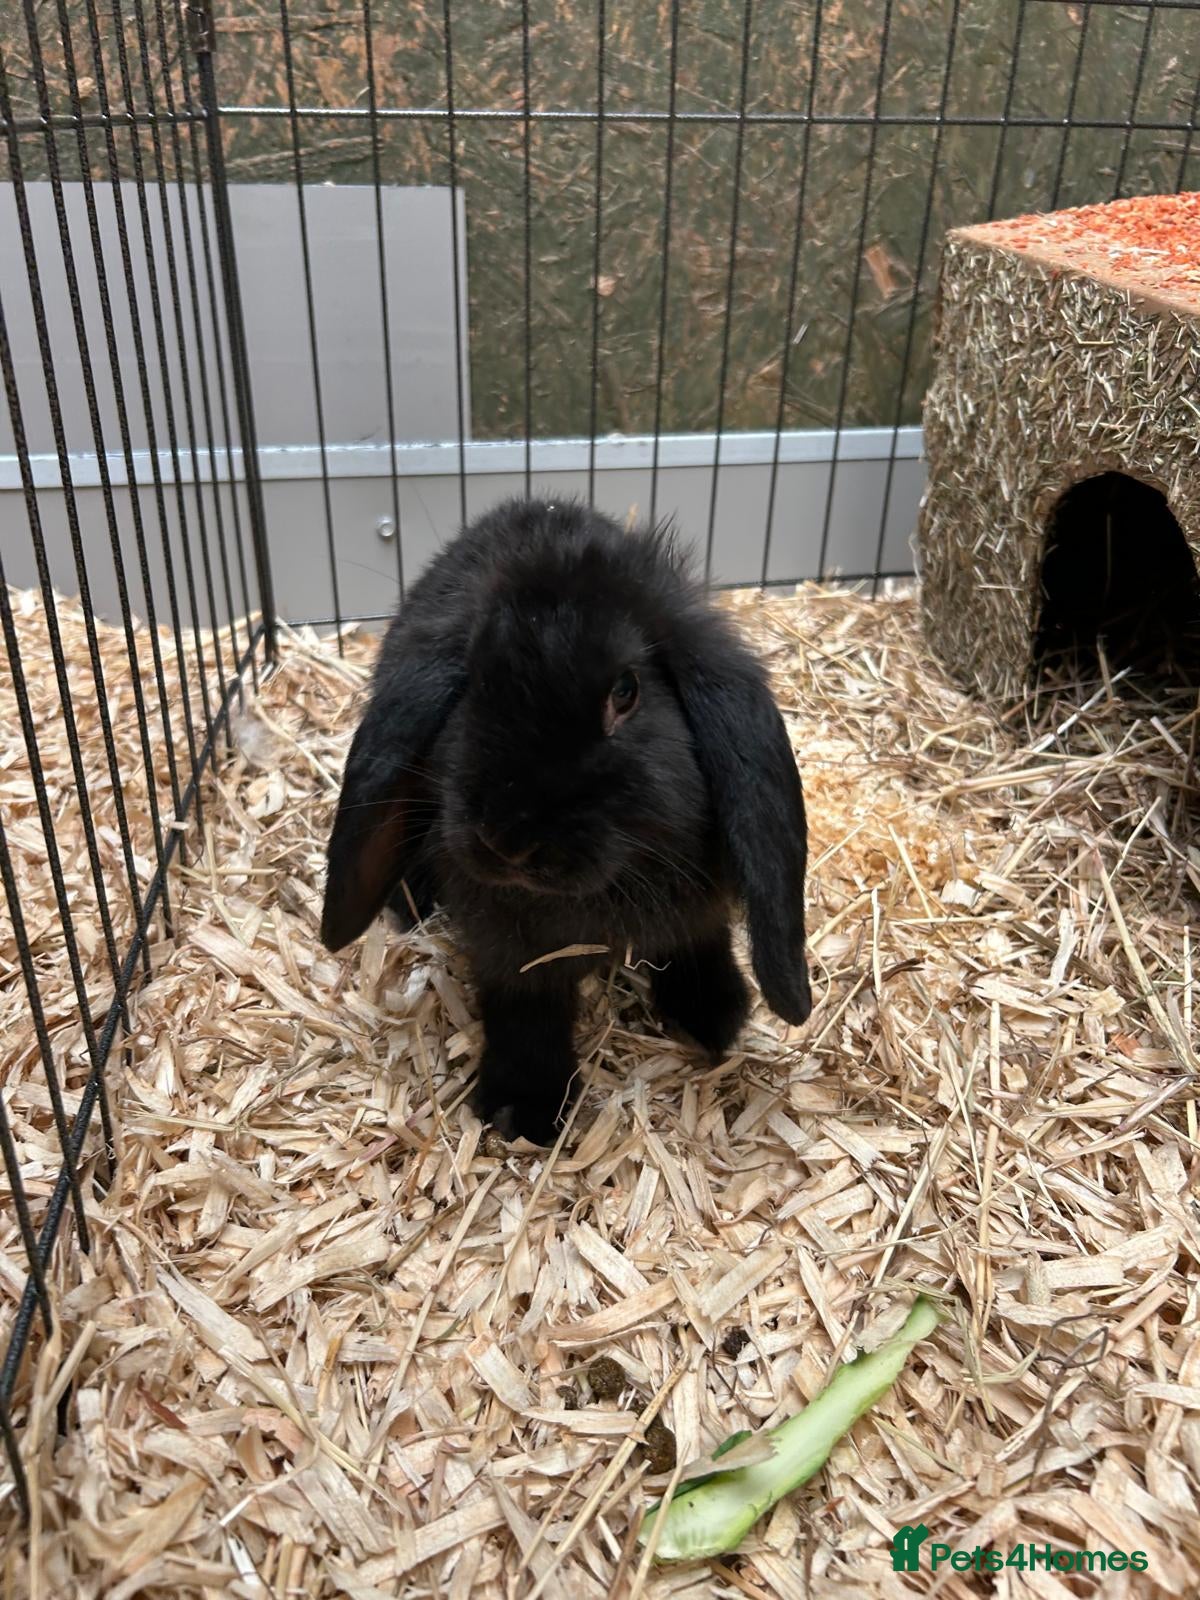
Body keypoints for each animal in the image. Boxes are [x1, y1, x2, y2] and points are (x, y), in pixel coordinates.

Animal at [320, 497, 812, 1146]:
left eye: (625, 691)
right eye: (473, 681)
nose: (507, 842)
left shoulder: (697, 909)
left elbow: (697, 940)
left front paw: (714, 1014)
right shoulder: (513, 951)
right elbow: (527, 1008)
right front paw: (523, 1109)